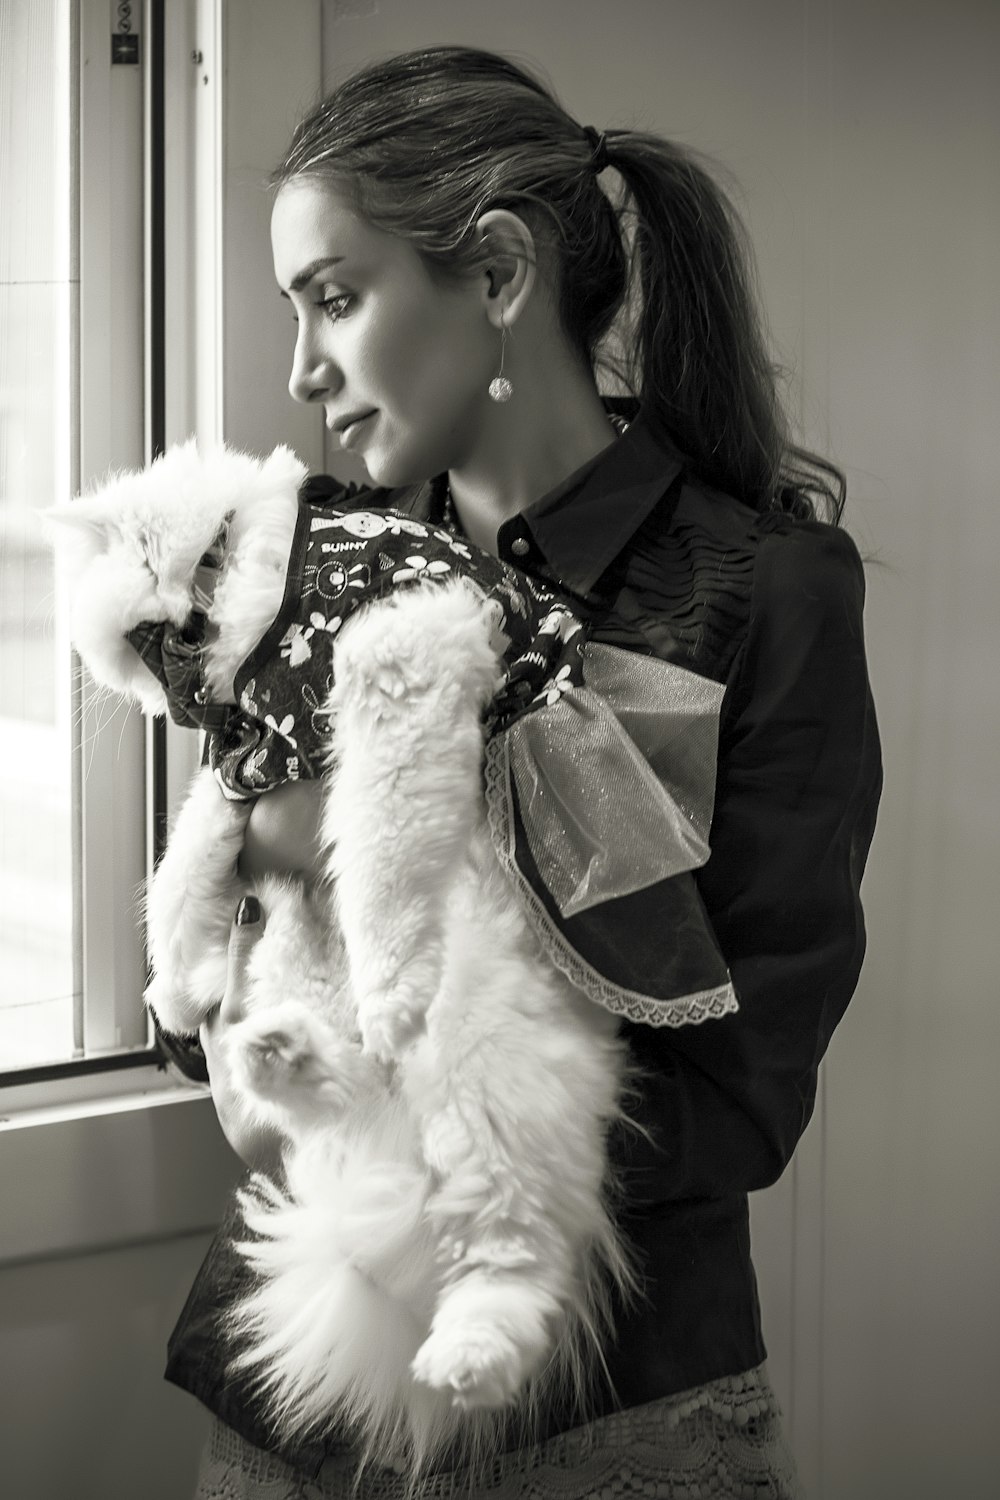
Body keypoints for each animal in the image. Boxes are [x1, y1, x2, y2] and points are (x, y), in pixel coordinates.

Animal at [48, 438, 632, 1470]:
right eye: (147, 650)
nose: (185, 693)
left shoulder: (395, 654)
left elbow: (378, 845)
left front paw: (391, 979)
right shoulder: (249, 763)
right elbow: (184, 867)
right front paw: (176, 989)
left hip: (485, 1079)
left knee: (517, 1257)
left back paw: (467, 1355)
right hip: (294, 972)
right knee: (337, 1095)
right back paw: (281, 1054)